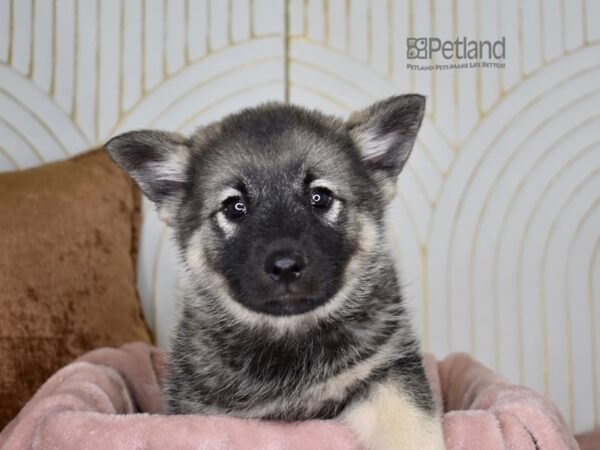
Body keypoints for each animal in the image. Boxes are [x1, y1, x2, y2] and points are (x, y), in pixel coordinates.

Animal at [106, 93, 446, 448]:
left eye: (320, 197)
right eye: (235, 206)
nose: (285, 267)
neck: (288, 336)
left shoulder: (388, 372)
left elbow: (408, 424)